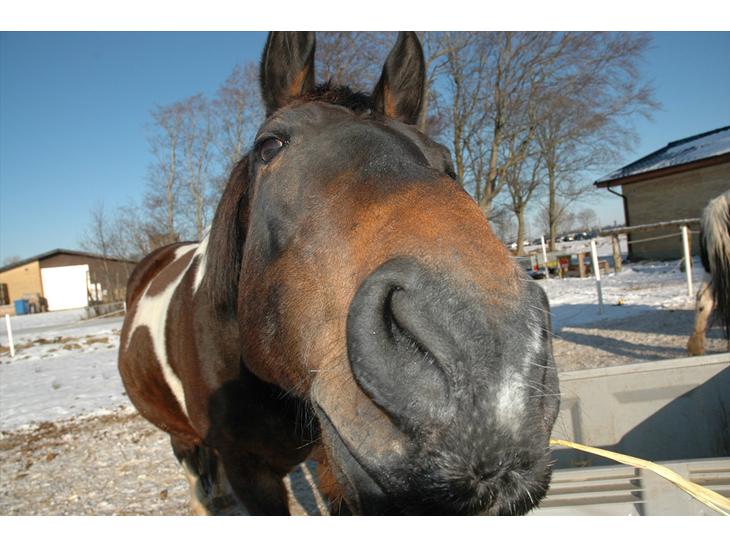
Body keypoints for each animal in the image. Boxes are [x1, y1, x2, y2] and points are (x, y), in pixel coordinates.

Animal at [118, 31, 560, 515]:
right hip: (179, 438)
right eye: (269, 146)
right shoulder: (248, 471)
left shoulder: (332, 467)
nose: (488, 359)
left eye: (446, 163)